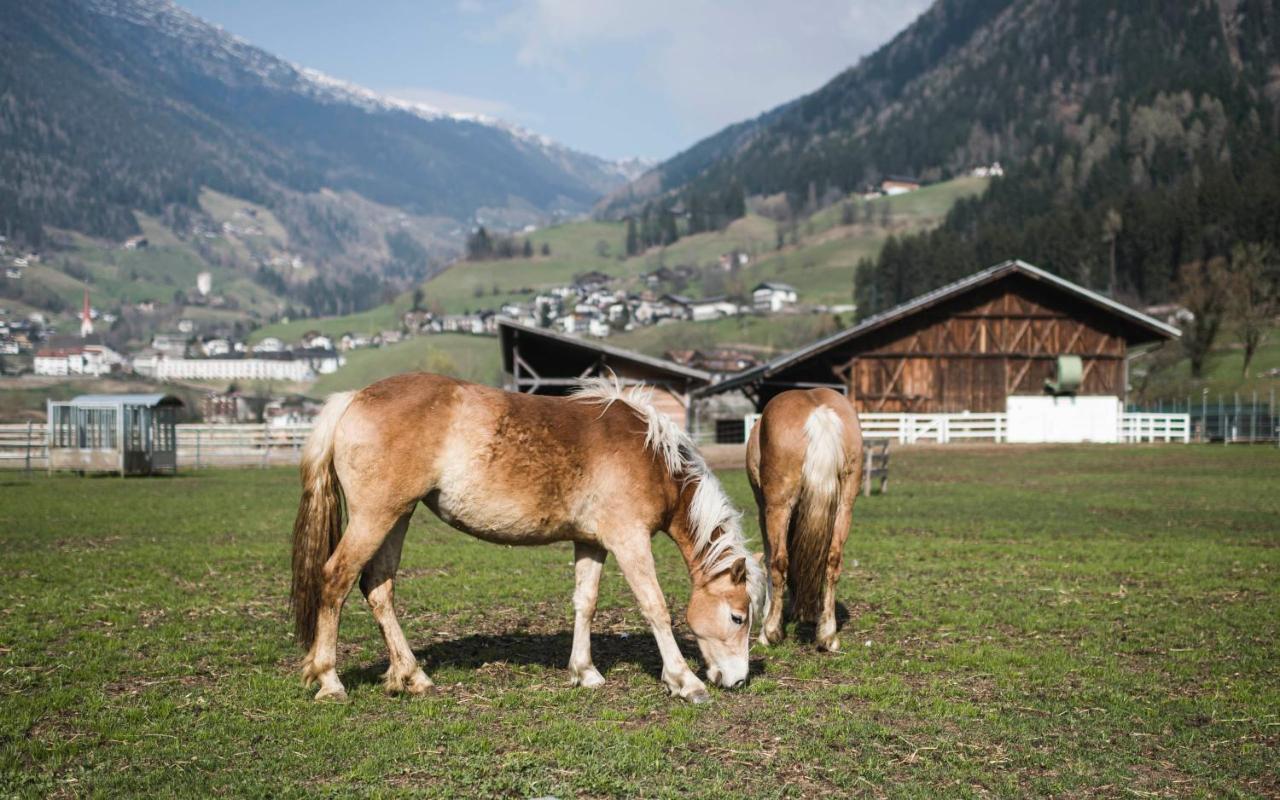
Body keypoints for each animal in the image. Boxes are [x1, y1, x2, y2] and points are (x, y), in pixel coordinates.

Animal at [290, 371, 762, 701]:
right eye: (738, 617)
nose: (737, 679)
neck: (649, 455)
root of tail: (354, 398)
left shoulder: (592, 543)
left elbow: (585, 603)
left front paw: (584, 672)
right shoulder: (629, 541)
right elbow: (655, 607)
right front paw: (684, 681)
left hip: (397, 516)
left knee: (378, 588)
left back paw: (412, 676)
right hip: (375, 517)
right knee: (335, 579)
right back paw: (330, 681)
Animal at [747, 386, 865, 650]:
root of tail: (819, 413)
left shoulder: (763, 510)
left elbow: (770, 559)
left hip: (777, 507)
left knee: (779, 561)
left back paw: (771, 632)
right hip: (845, 507)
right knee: (833, 561)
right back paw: (827, 635)